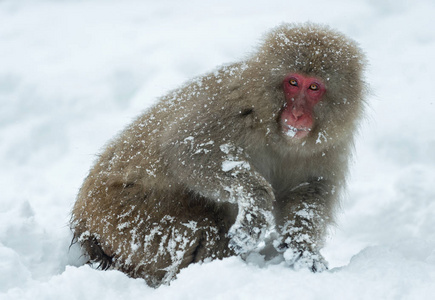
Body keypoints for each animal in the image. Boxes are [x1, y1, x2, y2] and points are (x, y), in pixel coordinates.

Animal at [71, 22, 368, 286]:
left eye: (314, 87)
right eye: (293, 82)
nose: (296, 114)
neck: (279, 135)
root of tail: (82, 219)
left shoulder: (330, 146)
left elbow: (309, 191)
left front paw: (303, 250)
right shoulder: (233, 105)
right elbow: (186, 150)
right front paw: (256, 201)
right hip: (123, 217)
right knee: (200, 229)